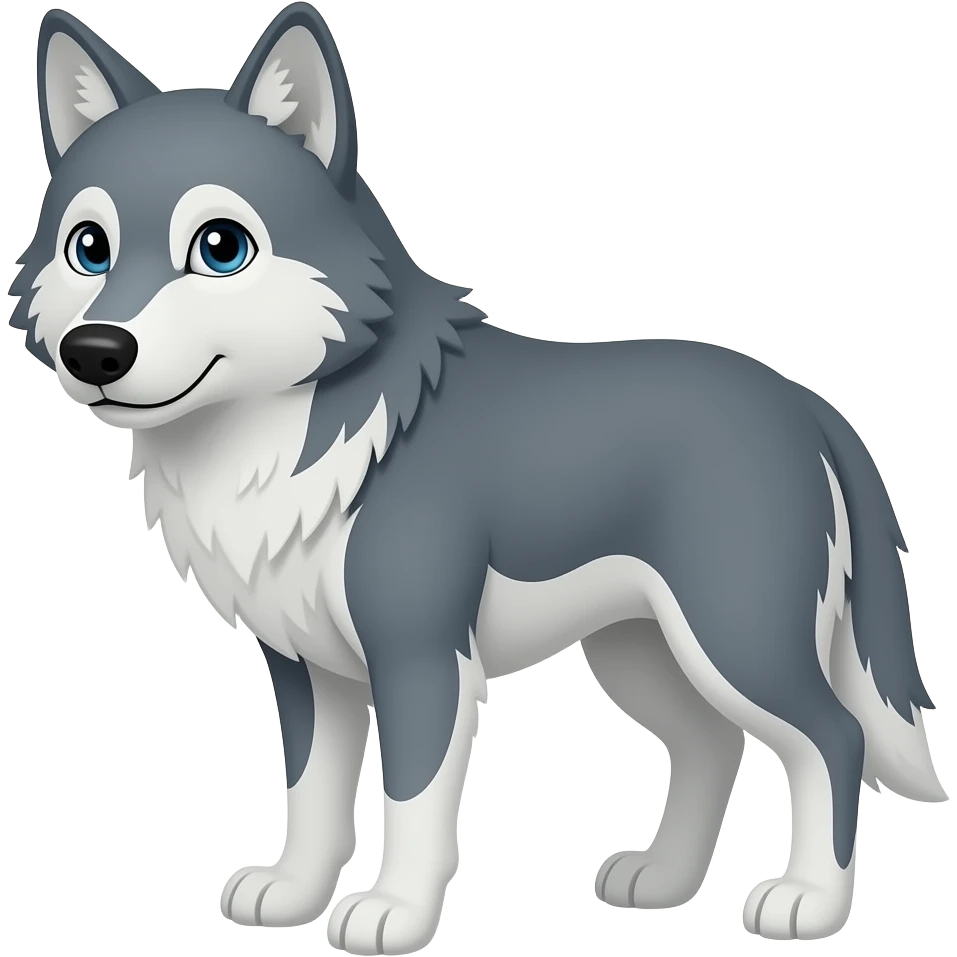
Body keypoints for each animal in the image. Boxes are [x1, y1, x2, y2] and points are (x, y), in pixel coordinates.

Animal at [7, 3, 945, 951]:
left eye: (220, 248)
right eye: (89, 248)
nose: (95, 351)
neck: (277, 432)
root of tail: (808, 404)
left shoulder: (420, 655)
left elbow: (410, 800)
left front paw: (392, 912)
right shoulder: (307, 667)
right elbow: (310, 794)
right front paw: (294, 894)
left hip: (732, 636)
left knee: (831, 738)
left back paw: (809, 903)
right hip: (641, 651)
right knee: (710, 745)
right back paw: (662, 880)